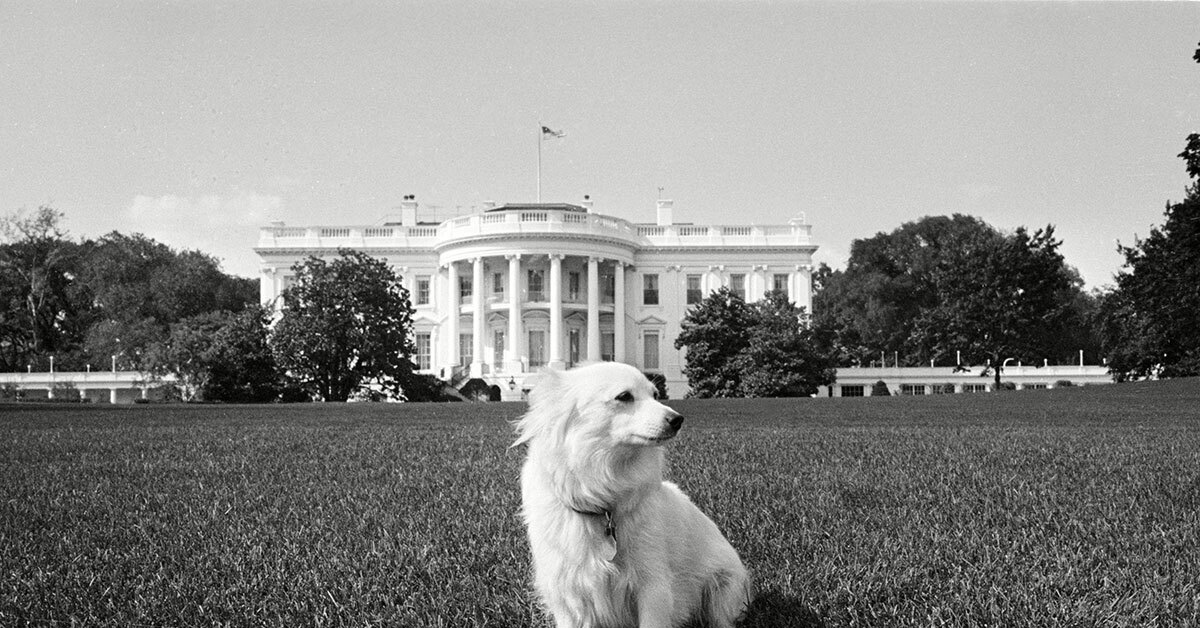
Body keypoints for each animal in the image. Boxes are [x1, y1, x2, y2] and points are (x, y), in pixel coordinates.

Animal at [513, 362, 748, 628]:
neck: (601, 498)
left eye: (656, 395)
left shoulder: (652, 586)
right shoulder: (567, 593)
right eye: (624, 396)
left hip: (723, 591)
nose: (678, 419)